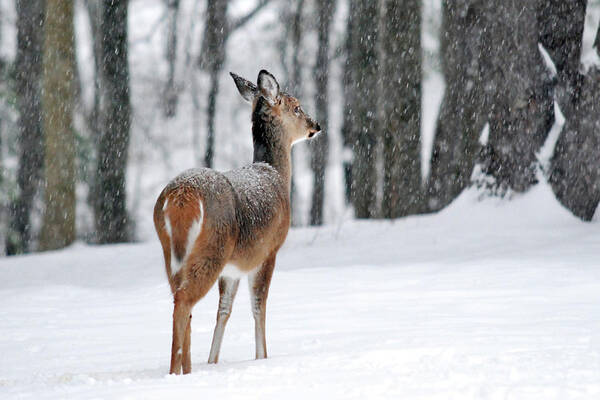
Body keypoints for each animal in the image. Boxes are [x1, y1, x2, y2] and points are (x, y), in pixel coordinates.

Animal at [155, 69, 324, 376]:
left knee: (180, 300)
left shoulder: (232, 268)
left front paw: (213, 361)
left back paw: (187, 368)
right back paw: (176, 370)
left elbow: (224, 310)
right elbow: (258, 305)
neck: (275, 174)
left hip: (171, 252)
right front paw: (262, 357)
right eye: (297, 107)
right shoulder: (268, 251)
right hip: (213, 248)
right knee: (184, 301)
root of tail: (182, 195)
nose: (316, 125)